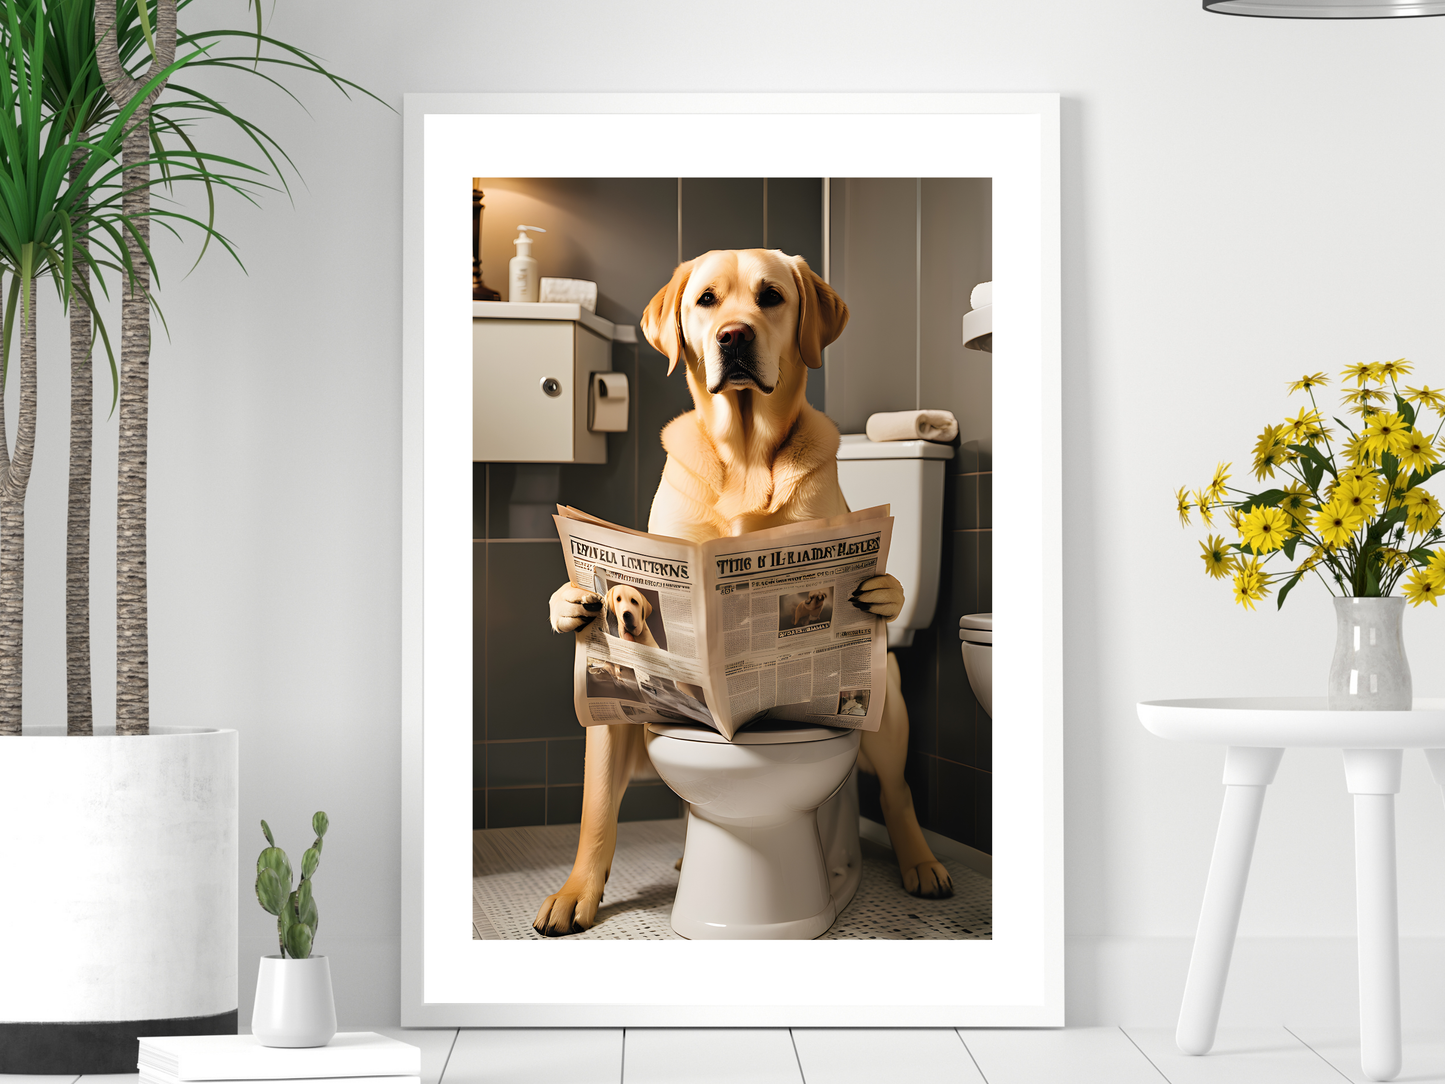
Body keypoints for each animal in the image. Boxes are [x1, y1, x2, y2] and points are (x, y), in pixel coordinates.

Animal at [537, 250, 953, 936]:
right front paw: (576, 894)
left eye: (771, 296)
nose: (733, 336)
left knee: (897, 791)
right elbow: (596, 811)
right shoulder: (613, 704)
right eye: (707, 300)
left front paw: (881, 591)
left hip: (884, 695)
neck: (745, 456)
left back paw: (920, 863)